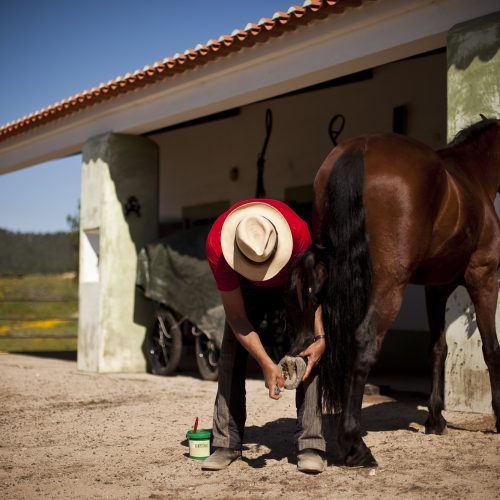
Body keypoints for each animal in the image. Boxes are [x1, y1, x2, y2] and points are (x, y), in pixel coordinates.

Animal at [290, 117, 500, 468]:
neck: (472, 176)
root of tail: (357, 149)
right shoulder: (484, 278)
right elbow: (491, 349)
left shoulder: (435, 289)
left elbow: (438, 349)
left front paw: (435, 420)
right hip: (390, 287)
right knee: (363, 341)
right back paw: (355, 446)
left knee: (309, 344)